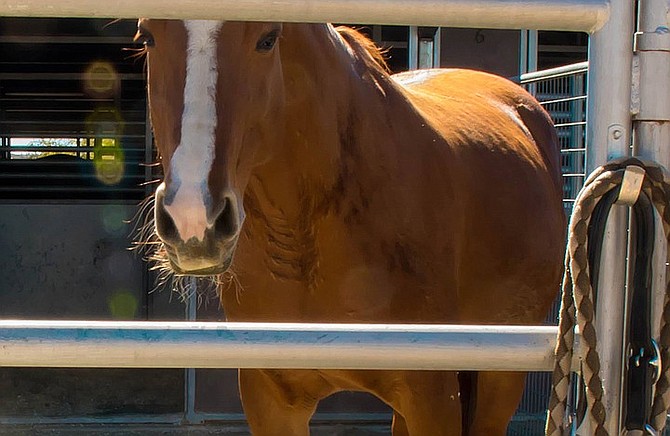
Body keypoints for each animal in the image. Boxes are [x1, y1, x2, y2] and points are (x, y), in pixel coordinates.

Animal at [137, 19, 566, 436]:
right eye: (146, 36)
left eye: (268, 39)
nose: (194, 220)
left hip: (499, 378)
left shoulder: (431, 395)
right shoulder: (272, 400)